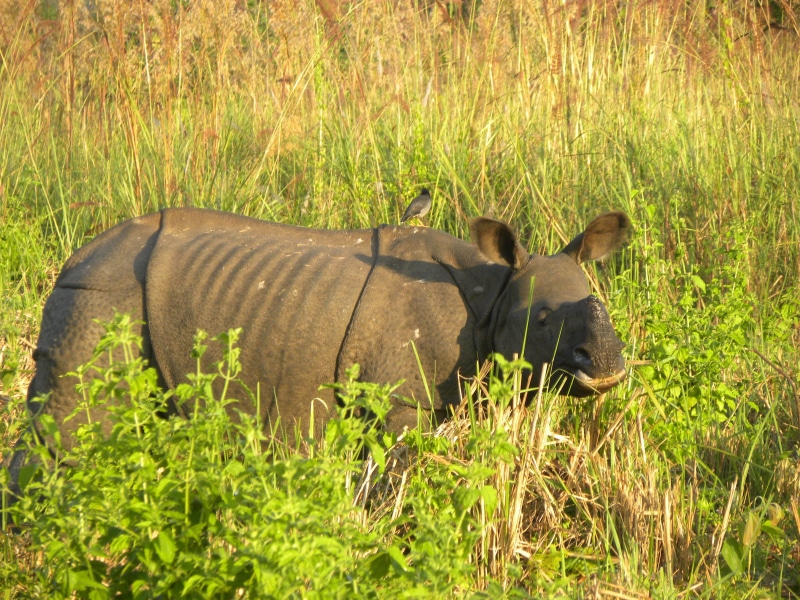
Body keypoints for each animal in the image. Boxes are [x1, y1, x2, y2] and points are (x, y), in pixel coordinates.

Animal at [6, 208, 629, 486]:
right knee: (69, 422)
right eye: (542, 320)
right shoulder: (397, 397)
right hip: (100, 294)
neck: (494, 290)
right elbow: (397, 473)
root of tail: (75, 259)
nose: (606, 369)